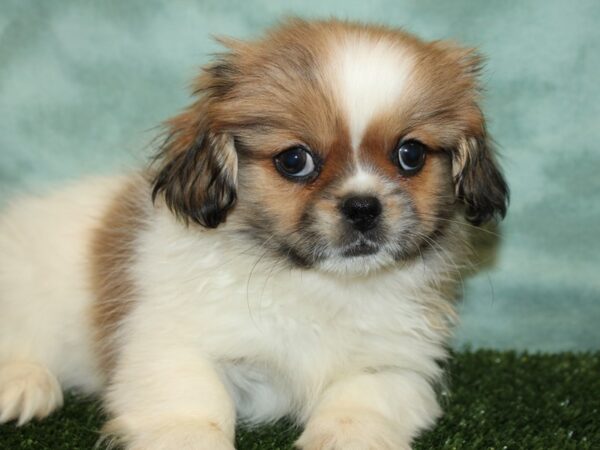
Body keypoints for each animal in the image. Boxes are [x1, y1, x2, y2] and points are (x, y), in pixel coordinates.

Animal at [0, 18, 506, 450]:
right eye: (294, 160)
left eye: (410, 155)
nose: (363, 206)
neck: (316, 285)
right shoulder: (169, 345)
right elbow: (196, 407)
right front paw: (194, 438)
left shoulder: (396, 364)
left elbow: (361, 402)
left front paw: (345, 436)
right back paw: (23, 383)